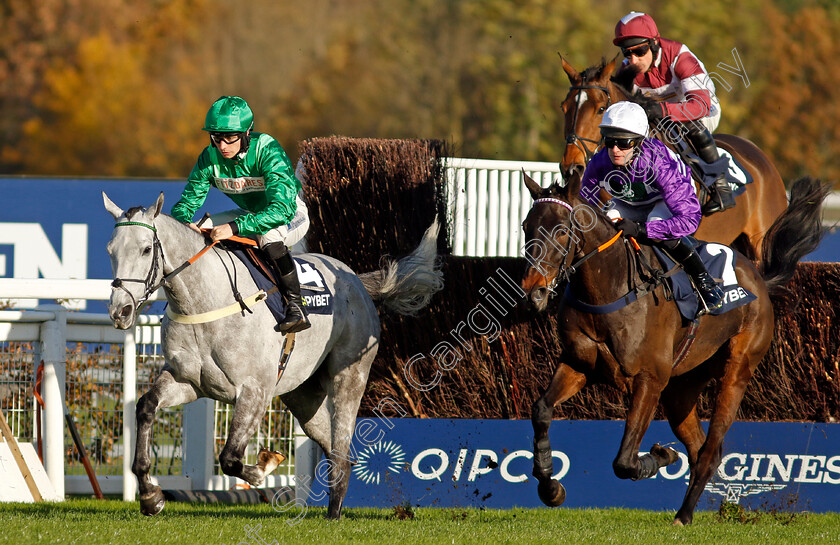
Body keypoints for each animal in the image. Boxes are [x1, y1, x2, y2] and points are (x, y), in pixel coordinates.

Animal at [101, 192, 442, 520]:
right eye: (110, 250)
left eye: (146, 249)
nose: (120, 311)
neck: (204, 302)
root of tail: (355, 279)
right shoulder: (188, 382)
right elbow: (146, 407)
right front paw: (150, 496)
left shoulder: (254, 390)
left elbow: (230, 459)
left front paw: (265, 466)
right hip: (302, 394)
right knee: (337, 450)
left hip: (349, 377)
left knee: (342, 444)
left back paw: (333, 514)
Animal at [520, 174, 824, 524]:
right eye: (526, 226)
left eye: (561, 230)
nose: (533, 292)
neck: (609, 289)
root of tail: (759, 278)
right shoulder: (578, 364)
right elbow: (541, 410)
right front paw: (550, 487)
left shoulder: (649, 379)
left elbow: (624, 461)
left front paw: (660, 454)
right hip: (681, 389)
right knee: (700, 447)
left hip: (737, 369)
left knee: (710, 448)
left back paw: (684, 514)